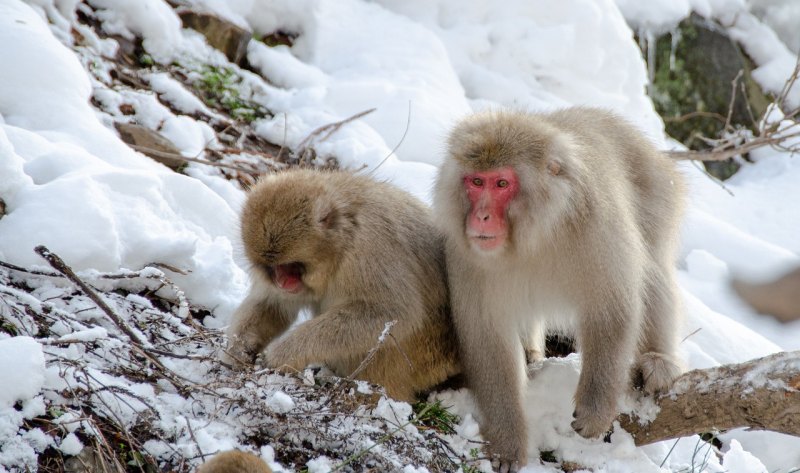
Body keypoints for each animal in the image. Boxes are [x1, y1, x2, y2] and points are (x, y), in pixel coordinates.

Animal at [225, 168, 462, 400]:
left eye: (291, 266)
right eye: (273, 268)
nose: (283, 282)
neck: (343, 239)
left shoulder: (371, 247)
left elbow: (393, 312)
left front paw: (285, 352)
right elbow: (273, 305)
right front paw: (238, 348)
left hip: (424, 358)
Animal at [434, 107, 684, 468]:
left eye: (502, 183)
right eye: (476, 181)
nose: (480, 217)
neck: (535, 235)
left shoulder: (596, 227)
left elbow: (612, 309)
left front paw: (595, 408)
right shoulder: (466, 255)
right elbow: (489, 338)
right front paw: (507, 440)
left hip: (658, 193)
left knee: (653, 267)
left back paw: (658, 361)